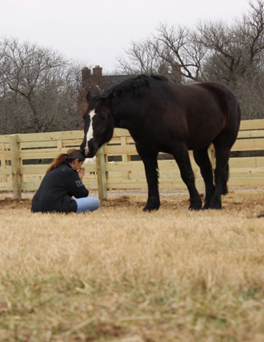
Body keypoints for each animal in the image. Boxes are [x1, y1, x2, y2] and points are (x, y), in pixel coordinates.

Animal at [81, 75, 241, 211]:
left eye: (103, 116)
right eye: (85, 117)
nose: (87, 148)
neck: (148, 110)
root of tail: (228, 94)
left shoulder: (179, 148)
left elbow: (187, 175)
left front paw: (195, 204)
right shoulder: (146, 151)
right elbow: (151, 177)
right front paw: (151, 205)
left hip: (223, 143)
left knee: (219, 172)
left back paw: (215, 203)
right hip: (200, 148)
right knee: (207, 172)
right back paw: (207, 204)